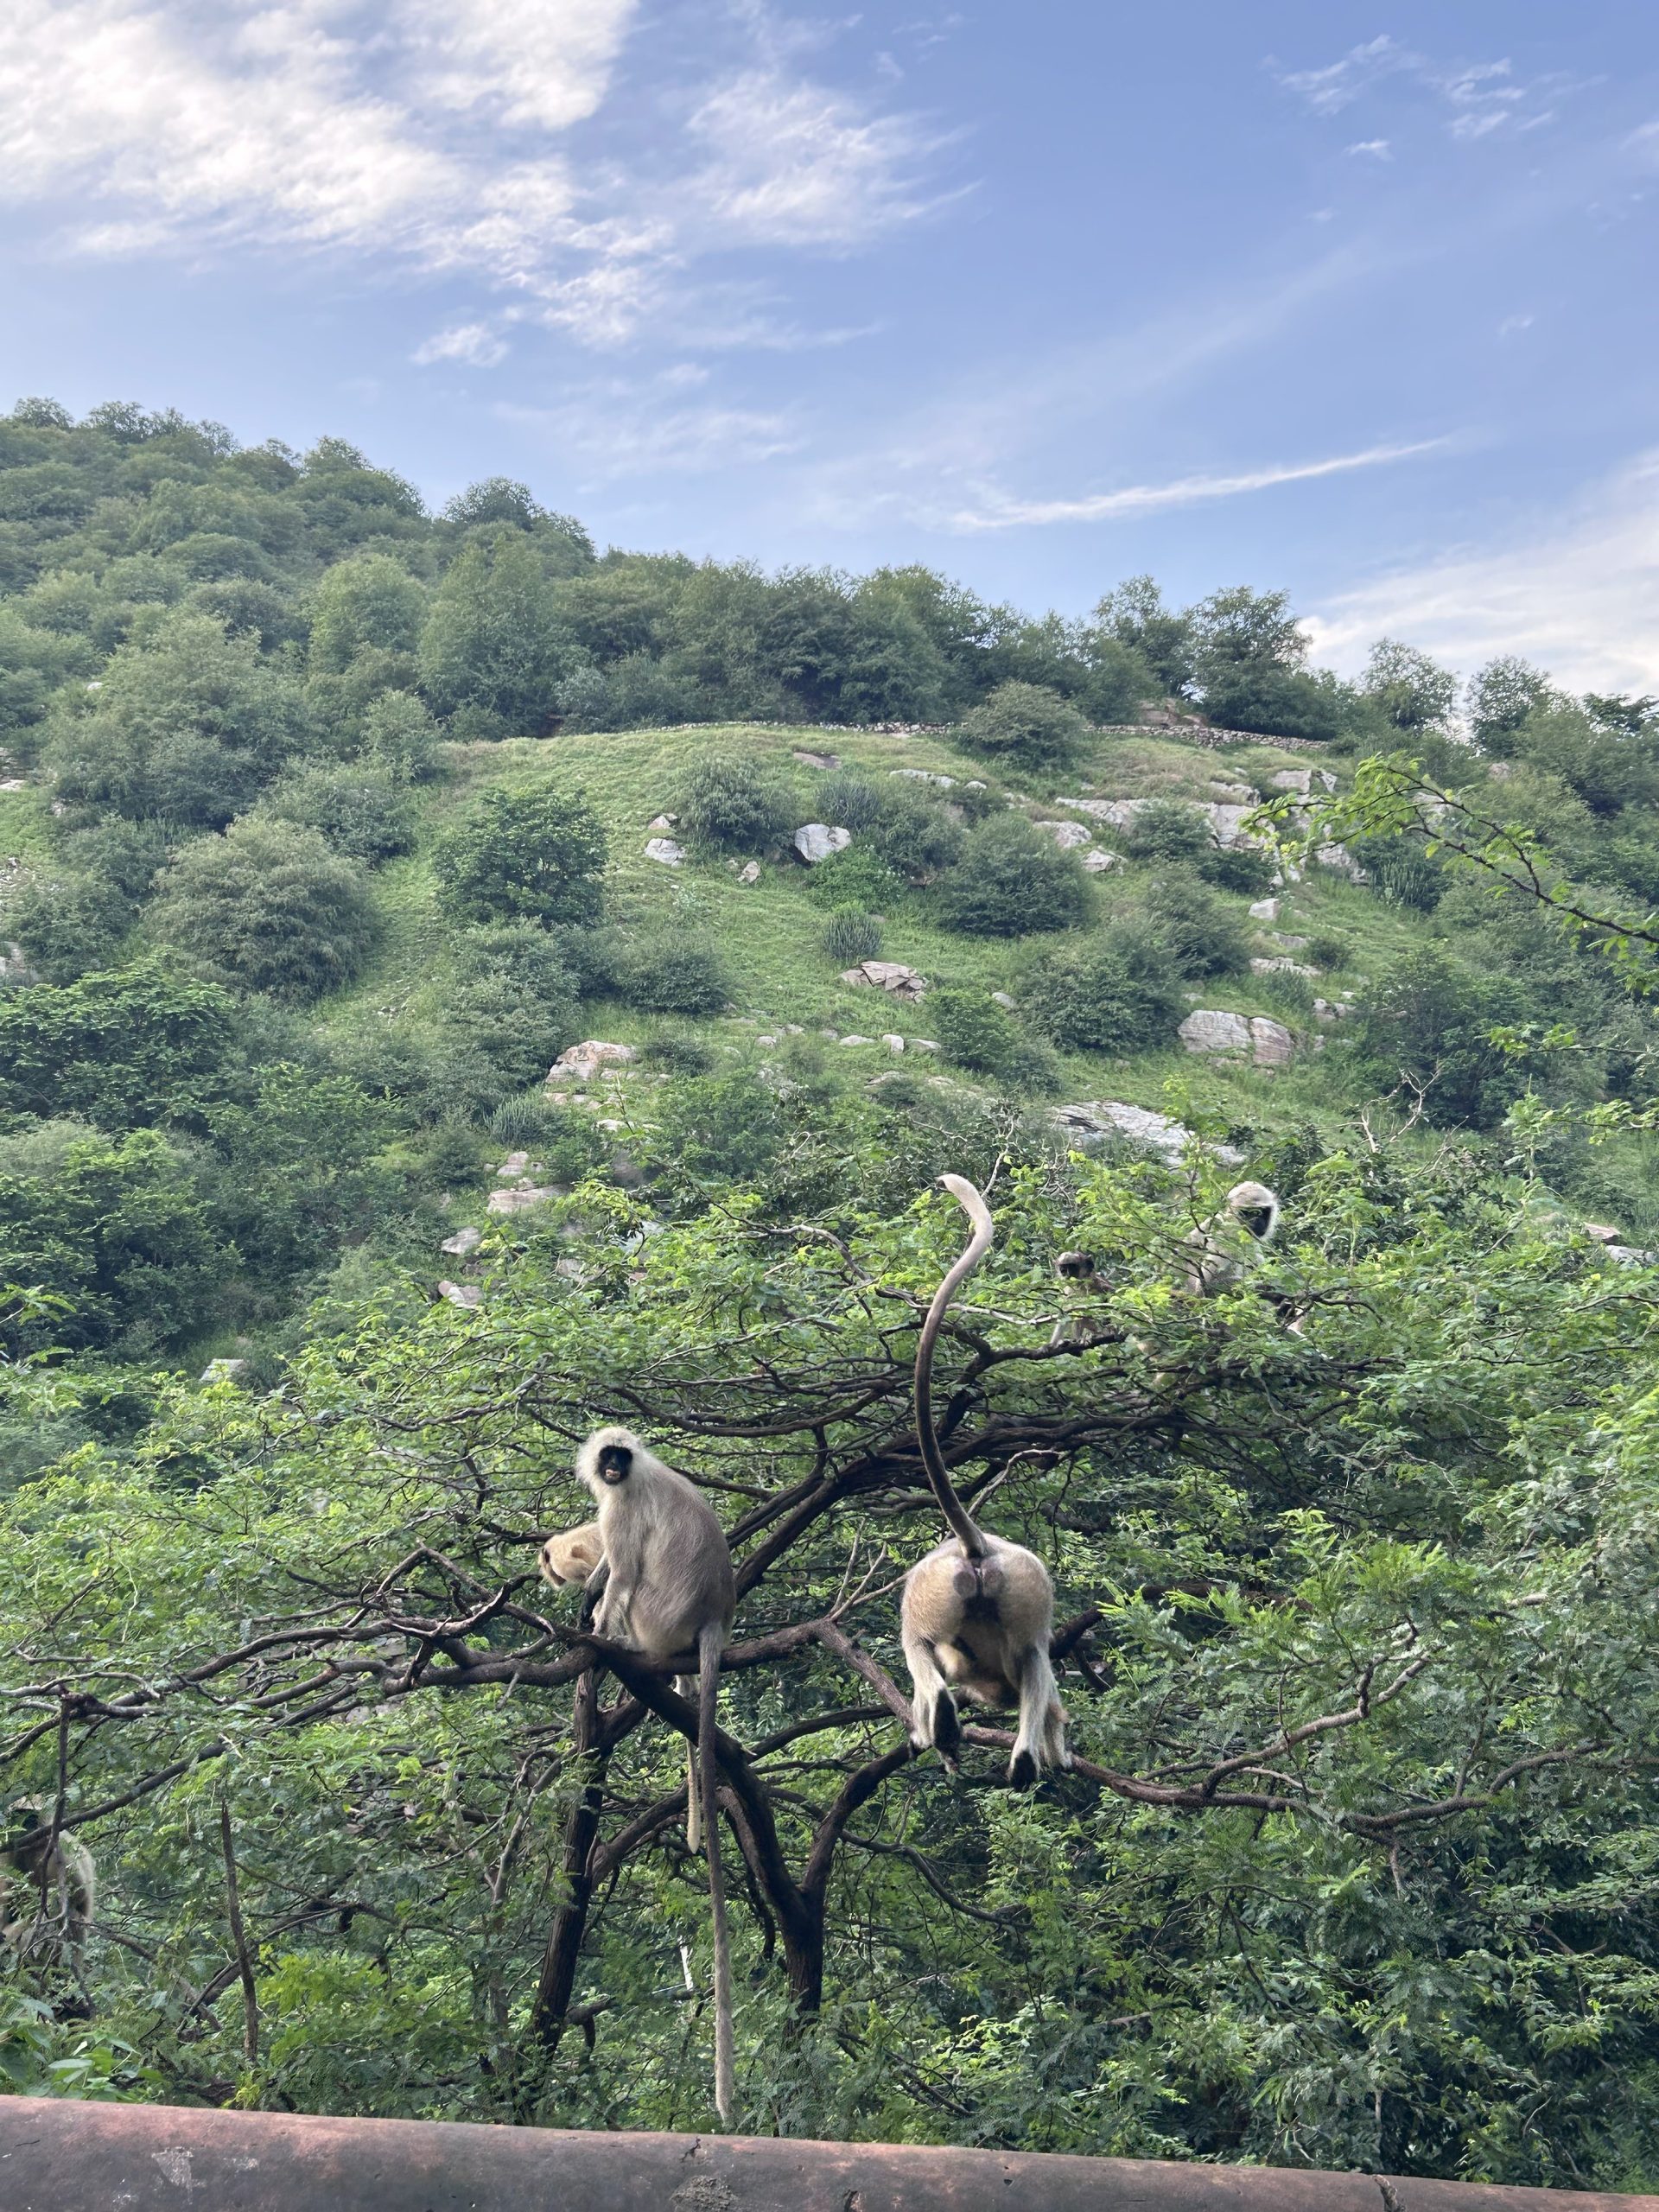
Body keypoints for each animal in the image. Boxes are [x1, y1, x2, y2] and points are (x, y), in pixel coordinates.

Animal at [902, 1185, 1071, 1787]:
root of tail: (977, 1547)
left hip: (936, 1592)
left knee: (921, 1645)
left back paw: (945, 1721)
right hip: (1017, 1588)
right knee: (1034, 1658)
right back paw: (1016, 1752)